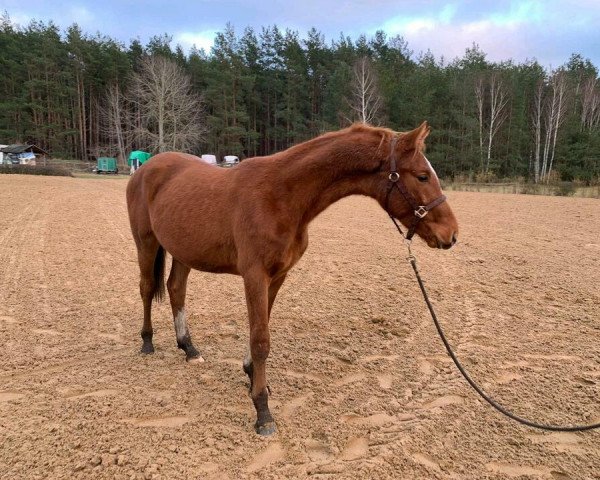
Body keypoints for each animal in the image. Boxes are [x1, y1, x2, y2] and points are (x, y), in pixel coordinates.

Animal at [124, 123, 458, 436]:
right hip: (146, 242)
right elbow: (260, 339)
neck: (281, 195)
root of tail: (147, 168)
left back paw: (189, 349)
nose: (451, 234)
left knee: (176, 289)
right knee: (146, 288)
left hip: (183, 250)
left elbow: (261, 328)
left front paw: (252, 377)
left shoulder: (278, 276)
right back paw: (147, 343)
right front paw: (262, 412)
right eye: (422, 176)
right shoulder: (254, 275)